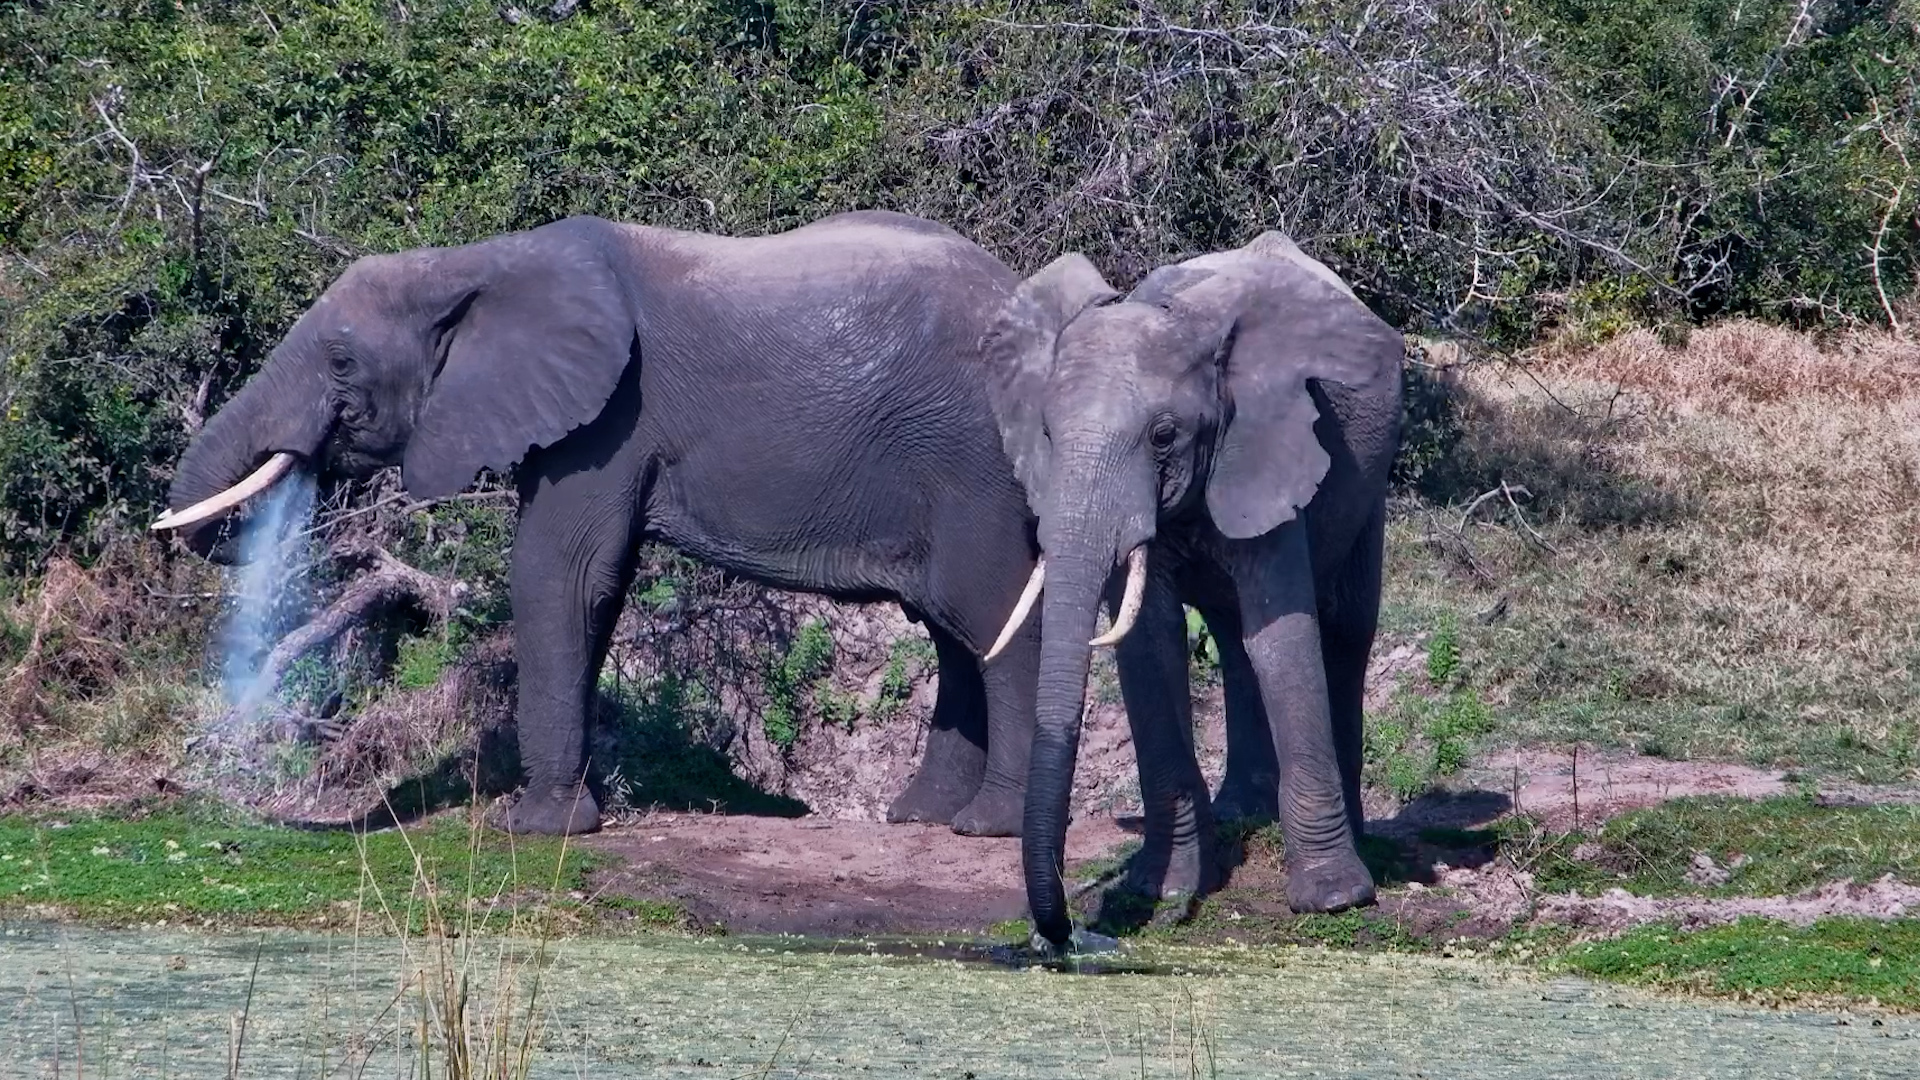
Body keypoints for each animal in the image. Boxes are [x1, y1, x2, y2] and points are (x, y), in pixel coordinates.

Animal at [152, 209, 1053, 838]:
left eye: (342, 363)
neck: (474, 261)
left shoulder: (609, 416)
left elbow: (559, 574)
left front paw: (536, 828)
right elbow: (592, 591)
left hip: (975, 463)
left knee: (991, 617)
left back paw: (986, 827)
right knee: (952, 629)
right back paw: (922, 815)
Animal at [979, 232, 1404, 949]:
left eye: (1163, 436)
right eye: (1047, 436)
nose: (1062, 937)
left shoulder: (1270, 444)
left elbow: (1283, 637)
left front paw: (1333, 899)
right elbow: (1151, 643)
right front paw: (1165, 890)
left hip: (1367, 487)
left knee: (1346, 632)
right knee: (1232, 638)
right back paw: (1242, 814)